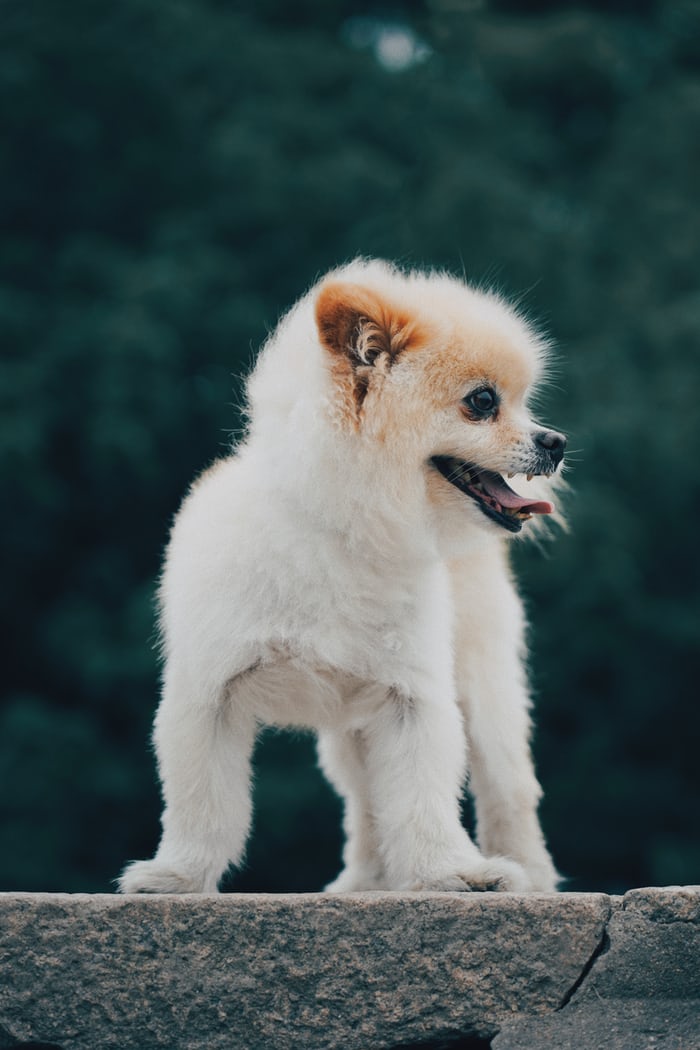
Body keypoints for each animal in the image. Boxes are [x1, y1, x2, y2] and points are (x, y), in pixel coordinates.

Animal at [120, 260, 566, 894]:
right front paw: (178, 875)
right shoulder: (209, 694)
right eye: (482, 402)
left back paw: (527, 872)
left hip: (482, 690)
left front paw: (450, 872)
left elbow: (424, 800)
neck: (344, 534)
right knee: (367, 800)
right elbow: (203, 804)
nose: (556, 441)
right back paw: (368, 881)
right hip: (354, 731)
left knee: (508, 786)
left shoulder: (414, 700)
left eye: (523, 403)